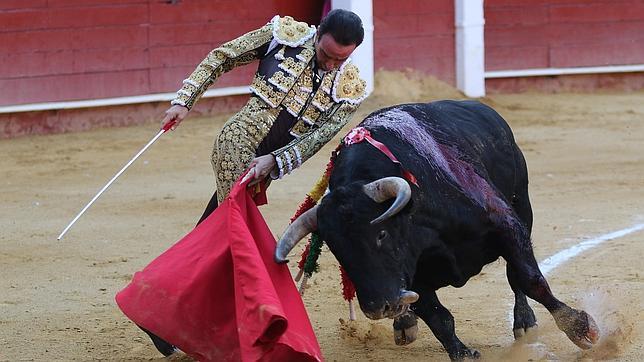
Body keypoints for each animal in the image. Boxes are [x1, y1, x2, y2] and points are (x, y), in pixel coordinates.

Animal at [274, 101, 600, 360]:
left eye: (381, 234)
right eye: (336, 250)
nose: (378, 307)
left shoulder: (506, 225)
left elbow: (529, 279)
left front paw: (580, 328)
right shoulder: (413, 277)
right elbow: (437, 317)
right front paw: (462, 353)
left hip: (523, 205)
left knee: (515, 277)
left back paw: (524, 322)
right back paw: (404, 323)